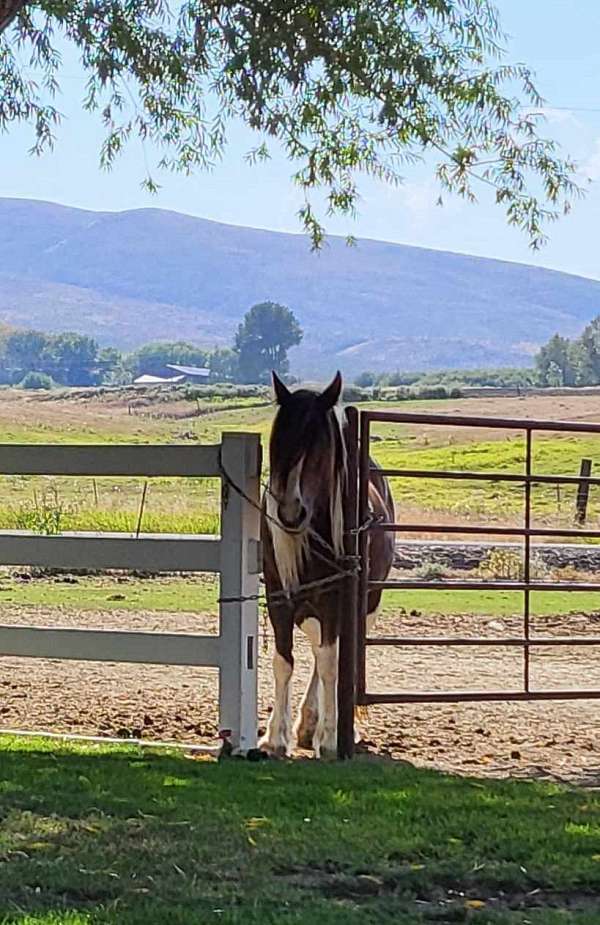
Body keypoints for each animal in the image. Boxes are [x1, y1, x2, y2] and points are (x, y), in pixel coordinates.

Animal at [258, 368, 394, 756]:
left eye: (319, 446)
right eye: (279, 441)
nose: (290, 511)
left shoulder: (336, 597)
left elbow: (333, 663)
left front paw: (332, 739)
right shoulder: (279, 596)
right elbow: (284, 661)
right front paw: (275, 738)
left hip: (366, 602)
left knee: (335, 654)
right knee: (318, 650)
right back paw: (307, 724)